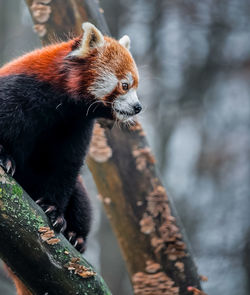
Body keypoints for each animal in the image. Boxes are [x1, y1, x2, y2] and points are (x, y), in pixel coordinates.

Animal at [0, 22, 141, 295]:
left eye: (136, 86)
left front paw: (54, 210)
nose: (138, 107)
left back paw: (77, 236)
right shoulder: (18, 92)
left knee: (81, 199)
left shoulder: (75, 126)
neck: (62, 100)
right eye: (125, 85)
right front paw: (4, 156)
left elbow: (65, 168)